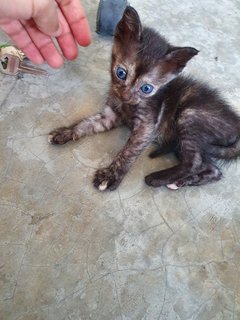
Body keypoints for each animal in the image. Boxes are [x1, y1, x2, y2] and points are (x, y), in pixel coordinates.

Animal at [48, 5, 240, 190]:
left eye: (146, 88)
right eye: (121, 73)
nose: (125, 95)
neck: (127, 105)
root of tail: (236, 123)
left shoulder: (147, 126)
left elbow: (129, 151)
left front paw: (111, 175)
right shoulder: (110, 115)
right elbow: (86, 123)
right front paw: (67, 131)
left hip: (188, 115)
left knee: (194, 162)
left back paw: (157, 178)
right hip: (185, 141)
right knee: (213, 170)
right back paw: (180, 182)